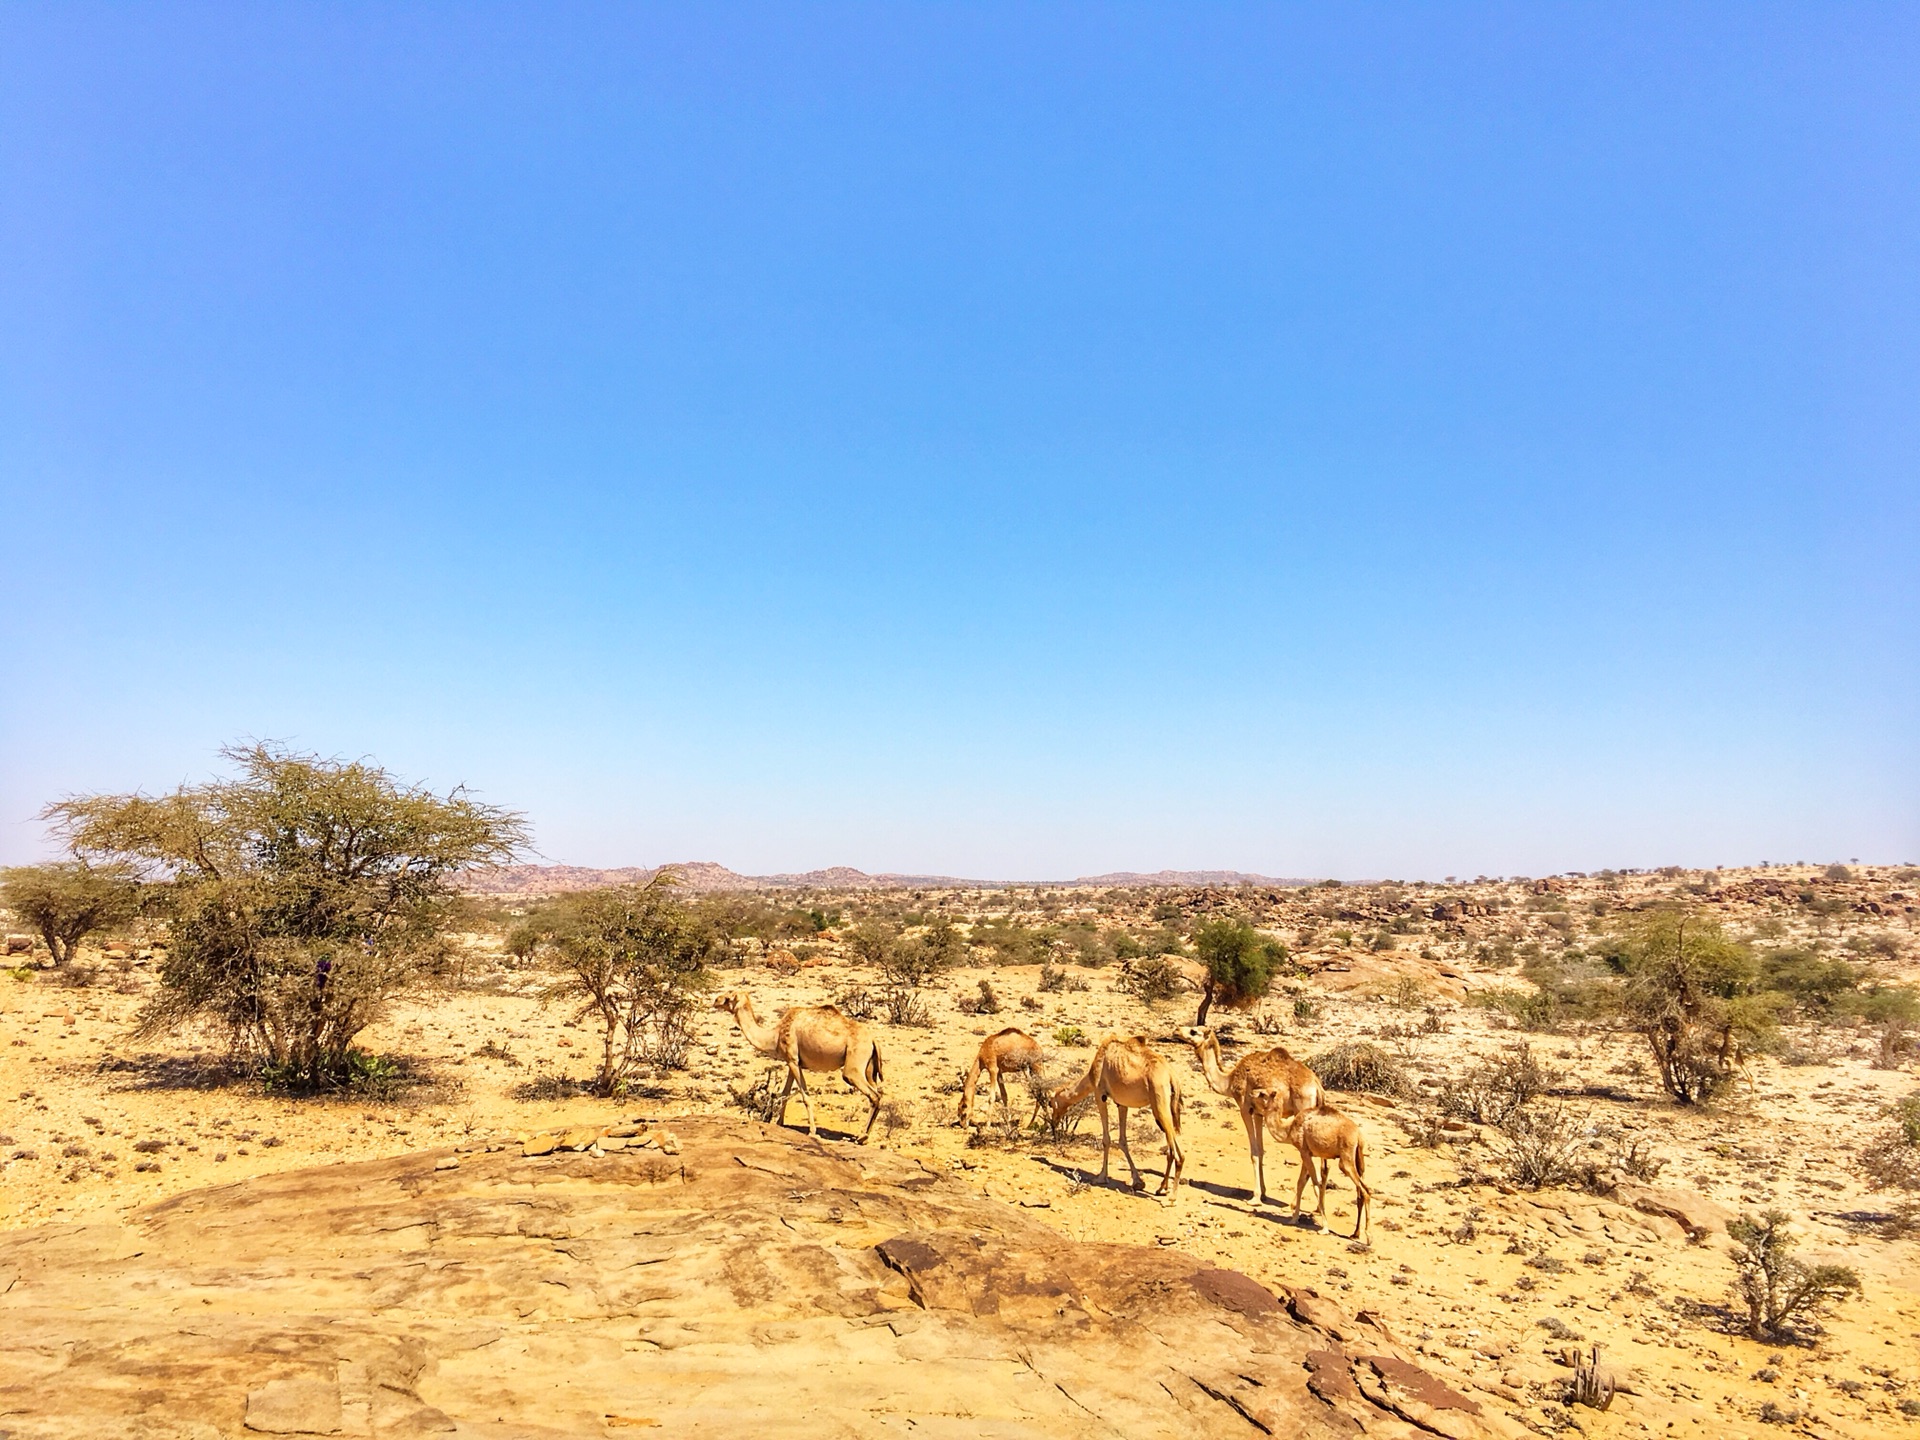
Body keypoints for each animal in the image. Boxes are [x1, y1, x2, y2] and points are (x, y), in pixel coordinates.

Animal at [714, 990, 883, 1144]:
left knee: (873, 1095)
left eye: (728, 996)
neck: (775, 1036)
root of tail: (873, 1039)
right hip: (869, 1068)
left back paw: (862, 1137)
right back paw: (864, 1137)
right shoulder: (790, 1062)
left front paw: (812, 1132)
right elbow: (785, 1093)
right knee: (877, 1092)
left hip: (853, 1065)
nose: (715, 1000)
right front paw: (779, 1123)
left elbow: (805, 1097)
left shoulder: (794, 1060)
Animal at [1052, 1029, 1182, 1198]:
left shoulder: (1099, 1093)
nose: (1053, 1123)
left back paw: (1170, 1195)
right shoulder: (1122, 1103)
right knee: (1175, 1147)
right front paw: (1138, 1181)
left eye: (1051, 1104)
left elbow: (1106, 1139)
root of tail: (1172, 1077)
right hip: (1167, 1107)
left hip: (1159, 1102)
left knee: (1174, 1153)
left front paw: (1101, 1177)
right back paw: (1162, 1188)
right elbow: (1122, 1140)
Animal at [1182, 1021, 1320, 1213]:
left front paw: (1255, 1198)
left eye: (1193, 1031)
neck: (1229, 1081)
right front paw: (1264, 1192)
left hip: (1303, 1110)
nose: (1177, 1031)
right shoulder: (1259, 1113)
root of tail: (1317, 1086)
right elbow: (1261, 1151)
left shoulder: (1245, 1108)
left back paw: (1293, 1205)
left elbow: (1254, 1152)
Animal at [1251, 1090, 1374, 1244]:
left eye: (1262, 1094)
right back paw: (1356, 1233)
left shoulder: (1304, 1151)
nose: (1251, 1094)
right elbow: (1300, 1183)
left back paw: (1368, 1237)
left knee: (1365, 1190)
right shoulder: (1306, 1152)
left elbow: (1316, 1185)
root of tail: (1358, 1136)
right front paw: (1294, 1219)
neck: (1289, 1129)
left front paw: (1324, 1228)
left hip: (1346, 1159)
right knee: (1361, 1192)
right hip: (1359, 1159)